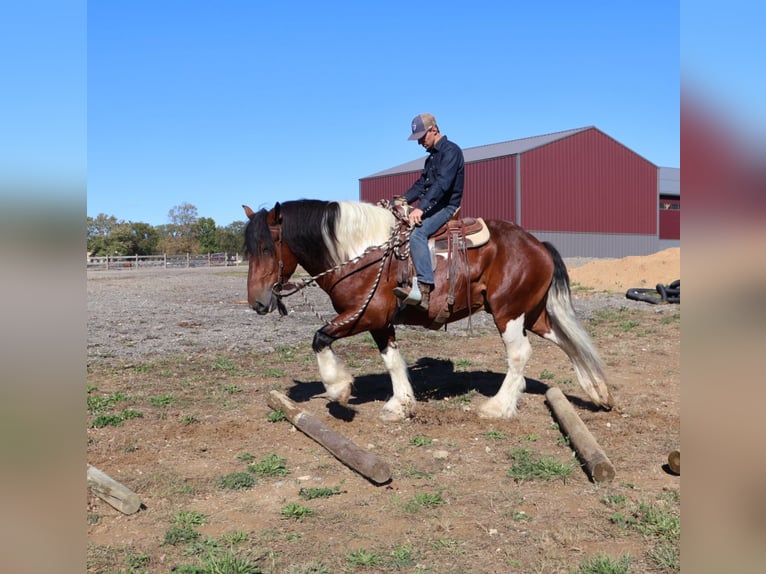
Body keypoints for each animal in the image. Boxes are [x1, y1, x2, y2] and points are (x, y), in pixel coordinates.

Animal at [242, 199, 613, 421]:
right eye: (248, 249)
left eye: (266, 247)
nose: (257, 302)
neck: (360, 254)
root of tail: (539, 245)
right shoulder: (380, 322)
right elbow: (391, 360)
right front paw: (401, 404)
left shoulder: (366, 314)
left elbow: (320, 338)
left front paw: (339, 388)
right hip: (531, 314)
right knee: (567, 342)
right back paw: (597, 392)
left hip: (507, 312)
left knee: (520, 354)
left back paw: (498, 406)